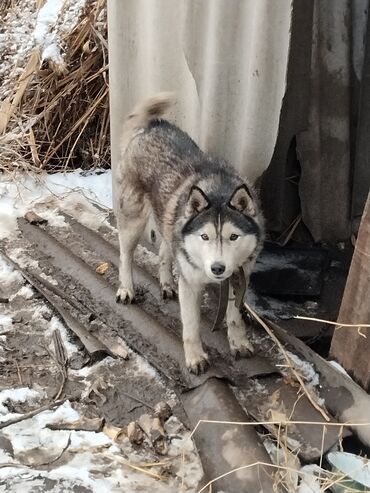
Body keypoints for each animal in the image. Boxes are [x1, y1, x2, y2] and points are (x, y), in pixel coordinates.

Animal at [115, 92, 264, 372]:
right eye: (205, 236)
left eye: (233, 237)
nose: (218, 268)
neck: (219, 191)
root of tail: (154, 125)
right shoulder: (191, 285)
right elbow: (192, 326)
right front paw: (195, 357)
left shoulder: (239, 276)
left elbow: (234, 316)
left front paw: (238, 342)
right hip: (134, 220)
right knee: (125, 256)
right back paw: (126, 288)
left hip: (169, 223)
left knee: (164, 252)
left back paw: (165, 284)